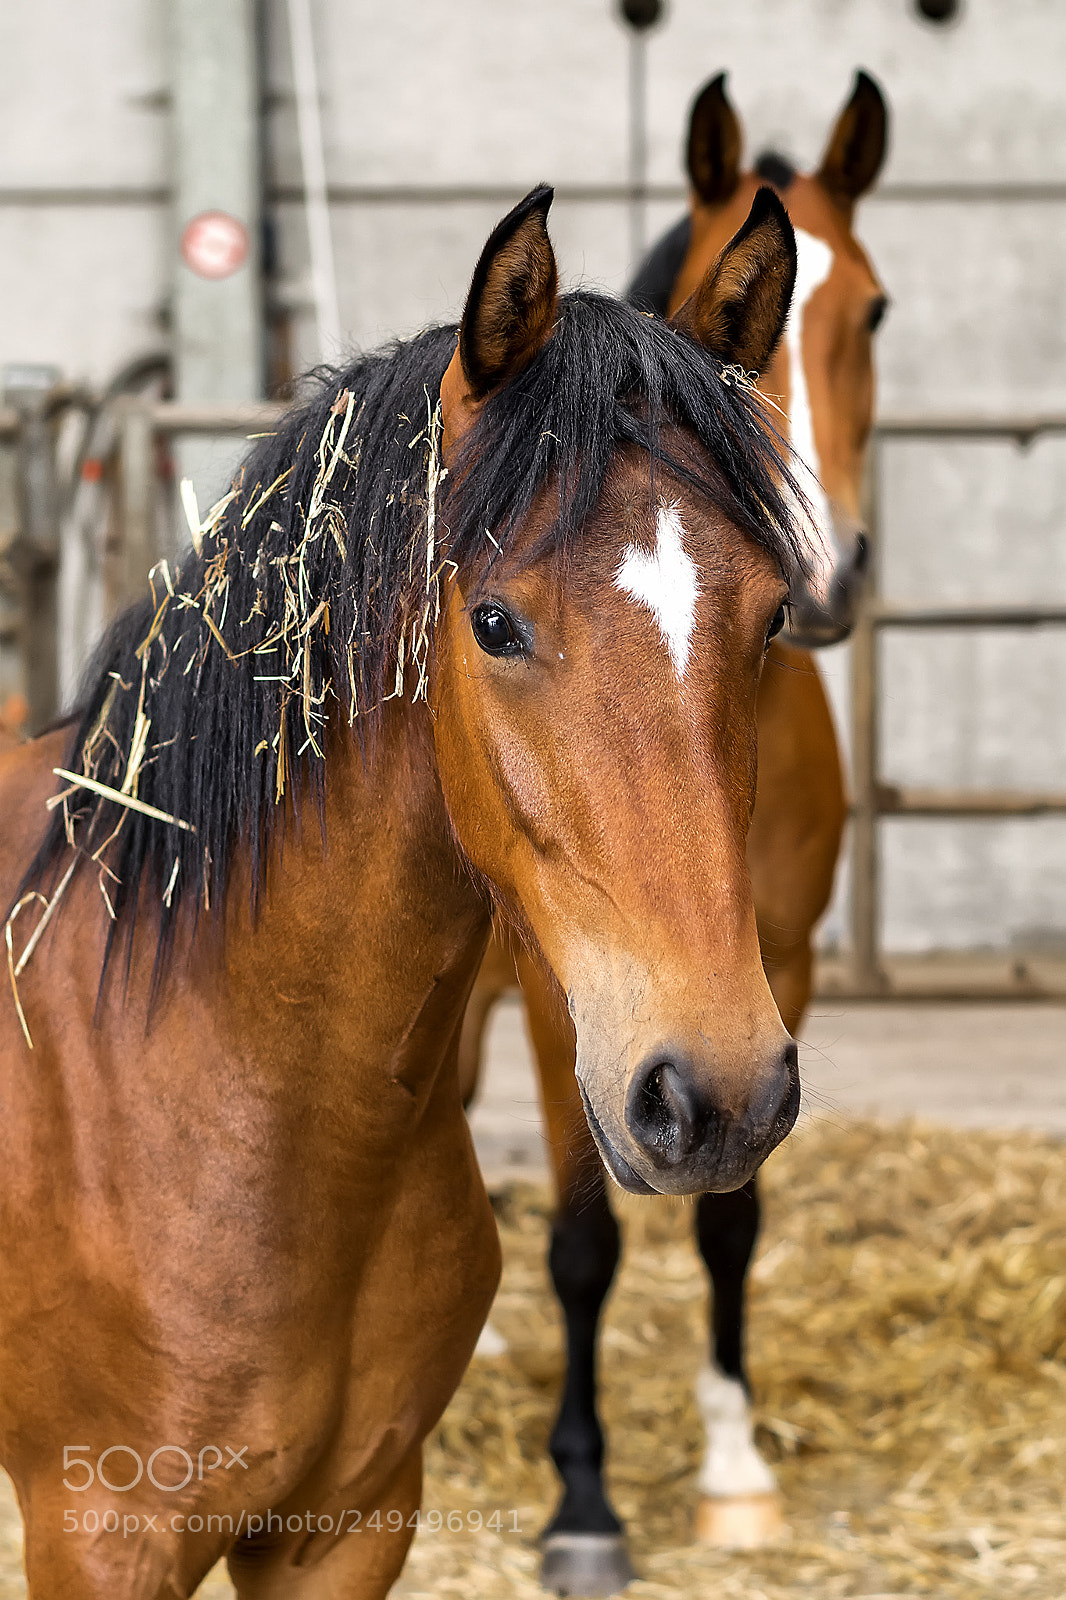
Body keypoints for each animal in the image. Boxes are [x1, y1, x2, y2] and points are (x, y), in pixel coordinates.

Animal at [459, 72, 889, 1596]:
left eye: (873, 310)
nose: (823, 569)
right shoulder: (559, 1000)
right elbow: (586, 1238)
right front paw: (582, 1498)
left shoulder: (776, 982)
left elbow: (730, 1212)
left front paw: (731, 1463)